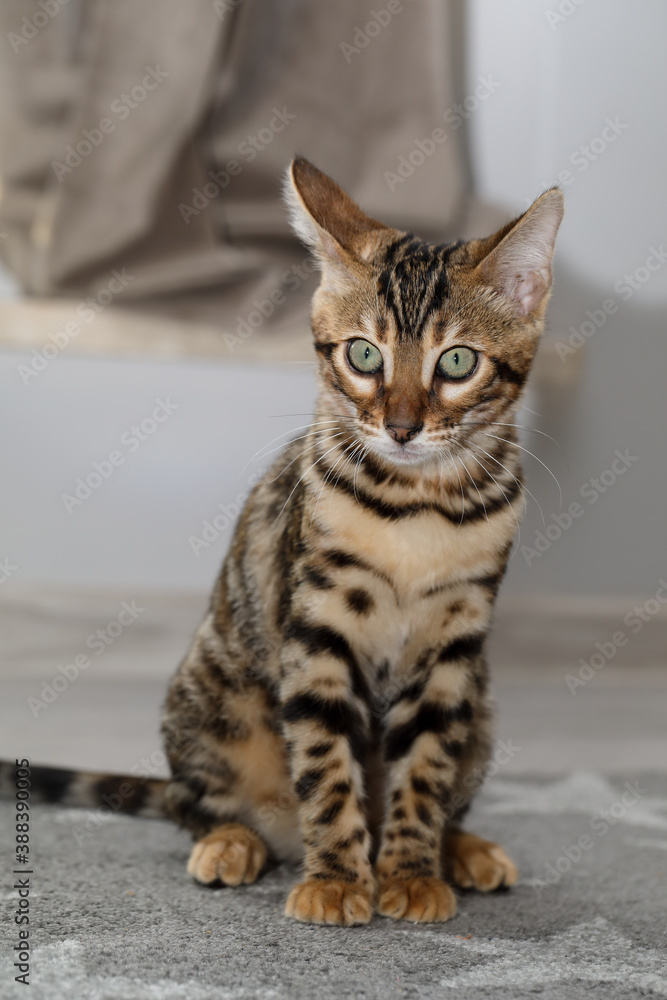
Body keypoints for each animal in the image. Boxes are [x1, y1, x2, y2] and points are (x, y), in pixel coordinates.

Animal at [1, 158, 564, 928]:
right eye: (363, 354)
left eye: (456, 363)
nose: (401, 427)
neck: (418, 506)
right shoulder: (319, 624)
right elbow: (326, 766)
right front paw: (337, 880)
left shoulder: (454, 646)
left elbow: (424, 770)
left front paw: (410, 872)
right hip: (213, 696)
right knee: (193, 802)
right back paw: (234, 841)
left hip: (480, 705)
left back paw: (463, 847)